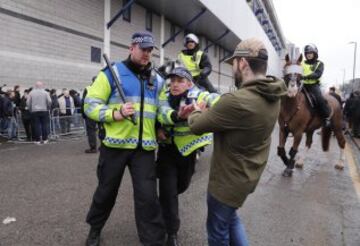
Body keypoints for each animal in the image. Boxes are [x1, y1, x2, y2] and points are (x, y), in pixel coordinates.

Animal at [278, 47, 344, 177]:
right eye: (286, 72)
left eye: (300, 74)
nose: (292, 90)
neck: (292, 106)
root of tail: (335, 98)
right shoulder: (283, 129)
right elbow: (281, 150)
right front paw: (289, 163)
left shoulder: (298, 132)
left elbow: (293, 151)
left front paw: (289, 168)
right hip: (310, 129)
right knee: (309, 143)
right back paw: (300, 162)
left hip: (337, 126)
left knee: (341, 142)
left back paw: (340, 164)